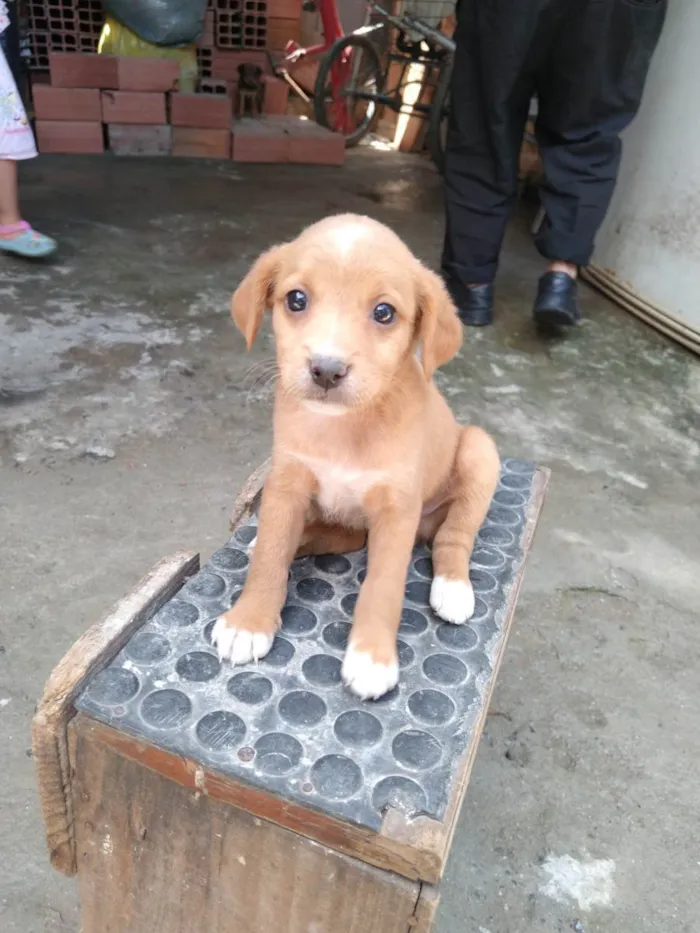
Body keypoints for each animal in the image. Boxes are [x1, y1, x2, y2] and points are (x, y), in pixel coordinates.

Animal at [211, 215, 500, 696]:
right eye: (296, 299)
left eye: (384, 312)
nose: (327, 370)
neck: (342, 428)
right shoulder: (286, 482)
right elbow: (272, 551)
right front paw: (249, 622)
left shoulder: (397, 511)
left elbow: (383, 587)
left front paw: (372, 658)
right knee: (330, 538)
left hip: (480, 451)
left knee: (454, 535)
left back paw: (453, 587)